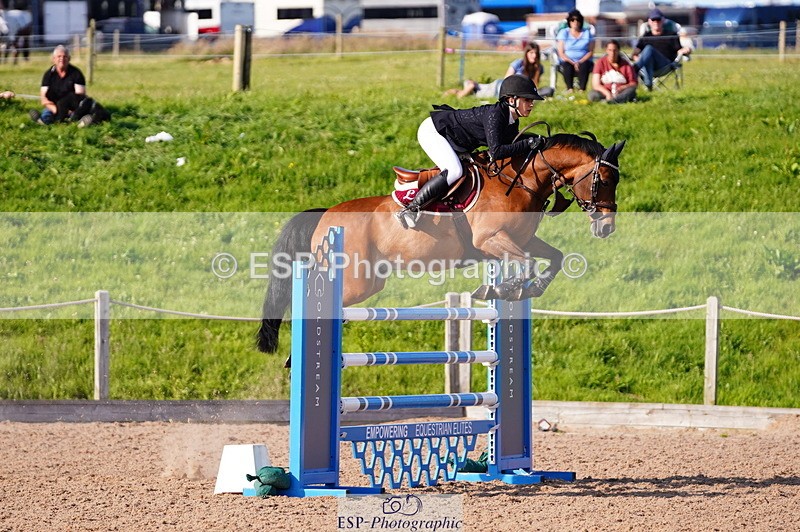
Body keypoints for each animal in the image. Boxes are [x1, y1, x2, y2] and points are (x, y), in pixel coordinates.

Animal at [257, 132, 626, 353]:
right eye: (606, 179)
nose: (606, 227)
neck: (522, 181)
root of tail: (325, 215)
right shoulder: (491, 239)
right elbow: (528, 263)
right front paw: (501, 288)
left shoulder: (522, 239)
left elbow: (554, 257)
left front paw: (522, 289)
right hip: (355, 281)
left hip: (370, 280)